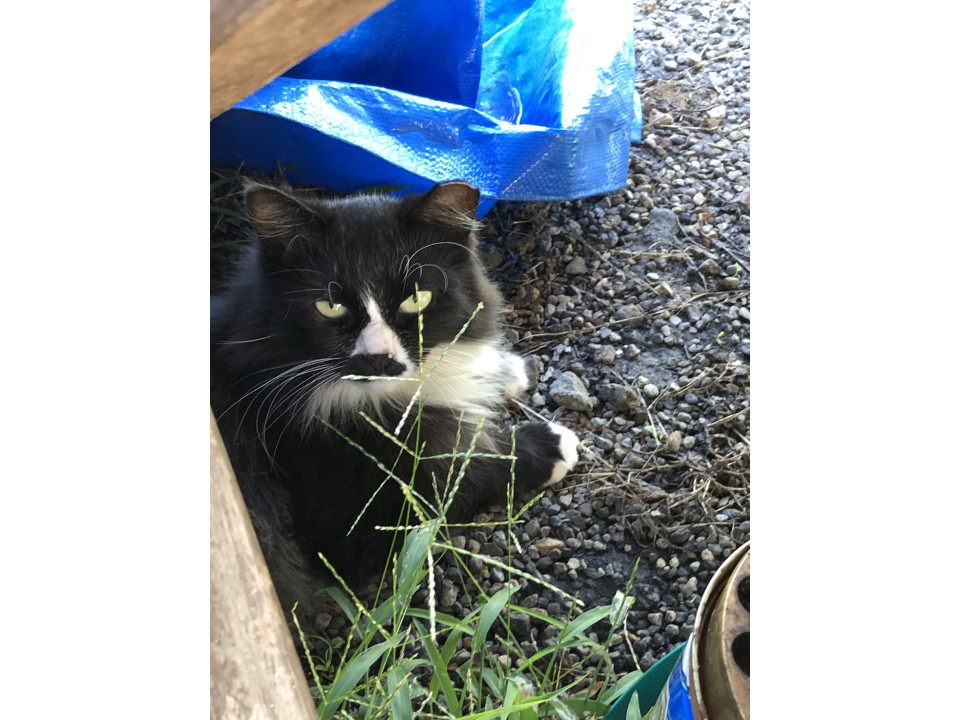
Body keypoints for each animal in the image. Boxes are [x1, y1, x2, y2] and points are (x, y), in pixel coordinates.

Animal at [210, 180, 579, 622]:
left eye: (415, 300)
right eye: (329, 306)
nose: (378, 359)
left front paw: (501, 371)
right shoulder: (360, 522)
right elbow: (465, 469)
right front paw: (547, 445)